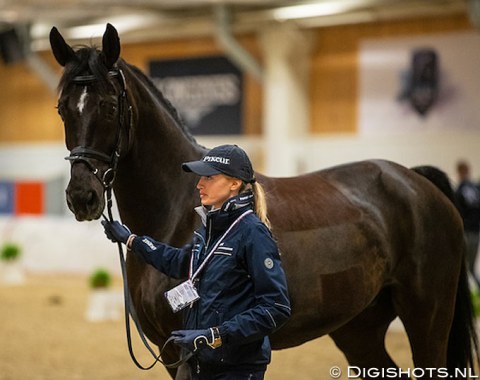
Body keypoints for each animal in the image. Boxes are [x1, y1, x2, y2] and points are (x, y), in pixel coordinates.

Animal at [50, 25, 478, 378]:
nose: (82, 197)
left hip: (427, 317)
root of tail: (416, 181)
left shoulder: (189, 349)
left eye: (109, 105)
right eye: (62, 109)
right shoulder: (169, 353)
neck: (178, 211)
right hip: (359, 328)